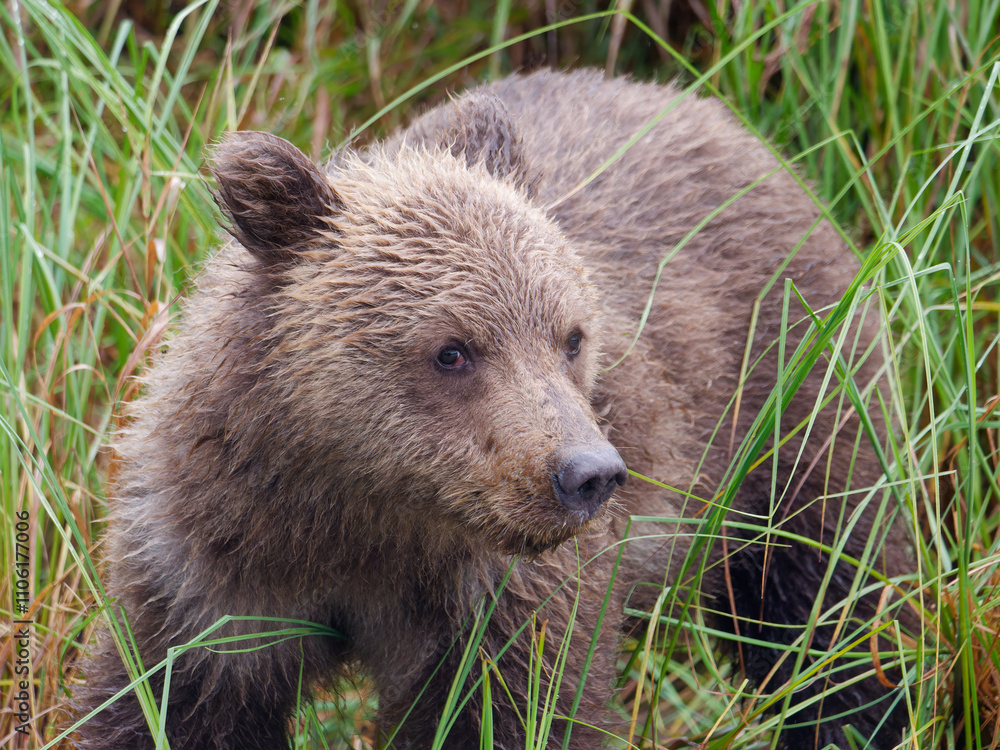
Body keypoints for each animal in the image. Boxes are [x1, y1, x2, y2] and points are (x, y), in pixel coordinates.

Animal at [73, 68, 912, 749]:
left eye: (571, 336)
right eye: (453, 350)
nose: (588, 473)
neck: (359, 512)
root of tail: (718, 115)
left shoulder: (498, 602)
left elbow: (516, 712)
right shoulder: (211, 574)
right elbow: (169, 704)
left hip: (793, 407)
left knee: (832, 598)